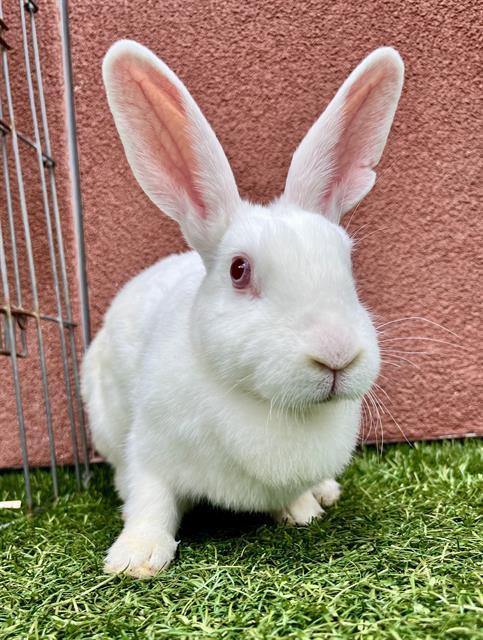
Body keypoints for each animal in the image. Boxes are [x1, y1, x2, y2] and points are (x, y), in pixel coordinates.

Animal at [81, 40, 404, 578]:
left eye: (346, 260)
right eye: (238, 270)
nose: (337, 354)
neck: (264, 403)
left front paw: (302, 511)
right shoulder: (150, 453)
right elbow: (150, 501)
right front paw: (136, 558)